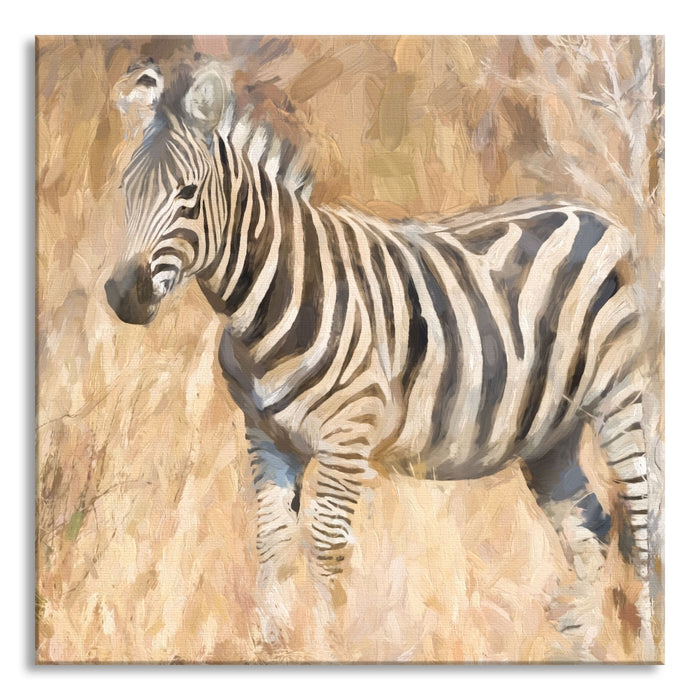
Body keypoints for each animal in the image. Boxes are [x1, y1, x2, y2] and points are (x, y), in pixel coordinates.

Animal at [105, 59, 654, 652]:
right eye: (124, 188)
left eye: (187, 192)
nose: (124, 294)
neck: (273, 298)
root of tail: (596, 213)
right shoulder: (265, 435)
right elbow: (272, 539)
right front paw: (270, 646)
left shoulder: (347, 437)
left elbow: (325, 547)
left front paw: (325, 648)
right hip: (551, 432)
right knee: (589, 526)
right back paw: (579, 648)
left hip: (617, 399)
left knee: (639, 522)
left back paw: (644, 643)